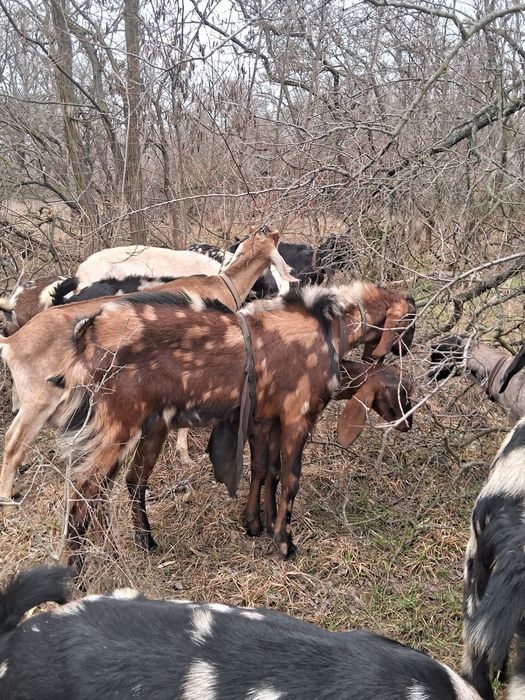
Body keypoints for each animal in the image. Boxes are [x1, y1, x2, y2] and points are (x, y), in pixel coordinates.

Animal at [0, 229, 296, 517]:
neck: (221, 284)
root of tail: (12, 342)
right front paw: (186, 455)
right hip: (40, 400)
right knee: (14, 445)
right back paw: (7, 499)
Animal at [4, 282, 414, 570]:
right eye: (402, 392)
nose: (408, 425)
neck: (326, 325)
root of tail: (87, 333)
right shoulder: (298, 416)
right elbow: (290, 479)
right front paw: (284, 542)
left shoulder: (265, 419)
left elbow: (266, 471)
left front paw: (257, 525)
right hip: (115, 428)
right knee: (83, 491)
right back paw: (77, 572)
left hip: (144, 428)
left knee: (122, 485)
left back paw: (136, 547)